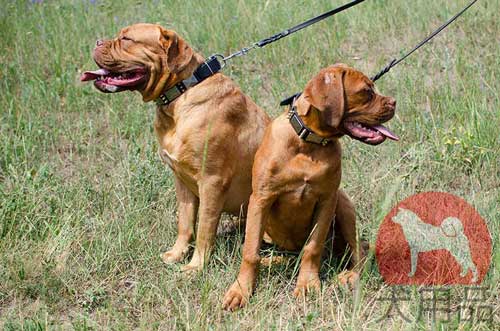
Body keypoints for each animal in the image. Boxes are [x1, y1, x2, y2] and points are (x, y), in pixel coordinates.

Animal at [81, 22, 364, 272]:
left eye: (126, 39)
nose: (96, 42)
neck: (181, 95)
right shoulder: (182, 181)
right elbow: (185, 223)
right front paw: (177, 254)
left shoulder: (212, 182)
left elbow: (205, 229)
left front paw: (196, 267)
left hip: (341, 204)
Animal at [223, 65, 398, 312]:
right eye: (366, 92)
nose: (394, 102)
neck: (308, 144)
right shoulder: (261, 199)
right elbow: (250, 251)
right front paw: (241, 290)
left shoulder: (326, 200)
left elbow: (312, 248)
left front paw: (307, 284)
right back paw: (271, 261)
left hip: (343, 205)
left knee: (358, 254)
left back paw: (349, 276)